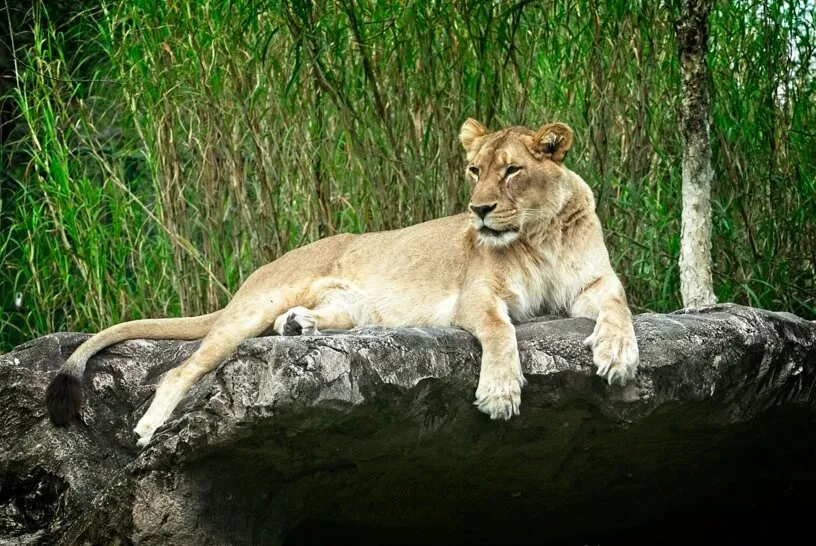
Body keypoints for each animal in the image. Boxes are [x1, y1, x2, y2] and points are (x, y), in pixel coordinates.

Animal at [45, 119, 639, 447]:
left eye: (512, 170)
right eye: (475, 170)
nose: (479, 210)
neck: (540, 235)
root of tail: (259, 272)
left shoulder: (594, 283)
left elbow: (620, 306)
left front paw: (618, 355)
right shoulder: (476, 297)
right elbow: (500, 330)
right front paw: (500, 391)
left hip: (352, 310)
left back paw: (299, 325)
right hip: (247, 312)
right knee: (179, 371)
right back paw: (150, 427)